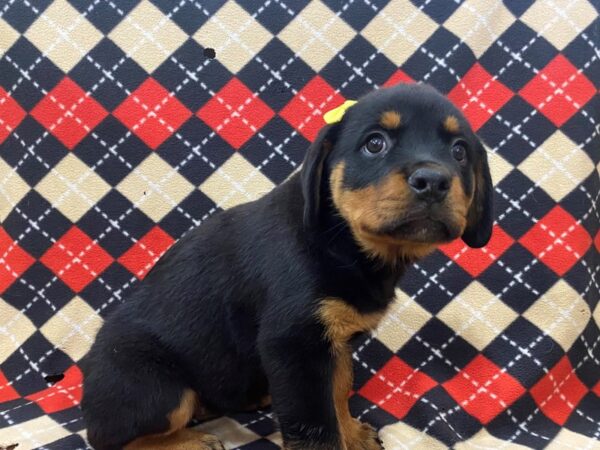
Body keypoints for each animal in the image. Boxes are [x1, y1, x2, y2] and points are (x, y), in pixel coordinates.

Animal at [81, 84, 492, 450]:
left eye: (459, 151)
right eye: (375, 144)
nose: (433, 181)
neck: (341, 242)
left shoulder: (332, 344)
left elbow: (338, 391)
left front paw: (351, 433)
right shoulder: (295, 346)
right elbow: (316, 427)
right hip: (157, 389)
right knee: (112, 439)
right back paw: (189, 442)